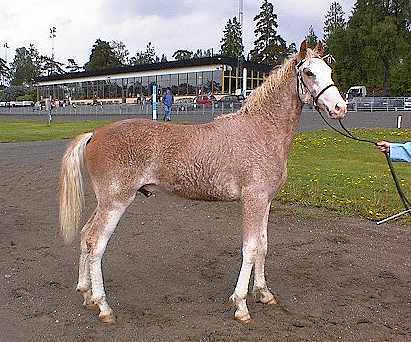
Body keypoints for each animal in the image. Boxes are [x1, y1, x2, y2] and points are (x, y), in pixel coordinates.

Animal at [58, 40, 348, 324]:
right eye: (309, 73)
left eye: (329, 71)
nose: (340, 108)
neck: (261, 131)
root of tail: (95, 134)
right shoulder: (252, 200)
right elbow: (250, 248)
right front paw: (241, 305)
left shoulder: (265, 201)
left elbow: (263, 246)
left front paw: (264, 293)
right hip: (115, 203)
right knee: (95, 244)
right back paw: (103, 306)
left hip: (104, 203)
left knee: (85, 236)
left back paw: (86, 294)